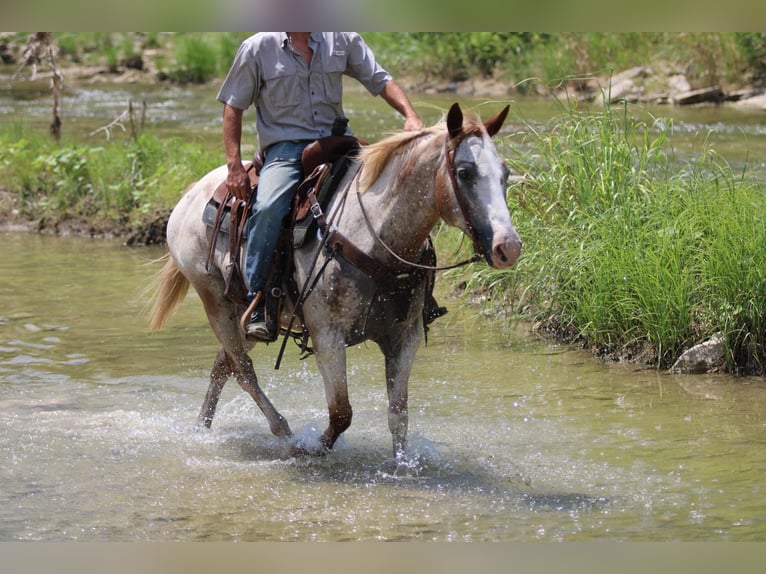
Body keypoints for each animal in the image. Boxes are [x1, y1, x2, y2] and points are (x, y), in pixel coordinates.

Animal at [148, 103, 524, 462]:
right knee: (242, 371)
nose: (508, 247)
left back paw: (202, 427)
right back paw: (285, 434)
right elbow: (341, 413)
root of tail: (192, 193)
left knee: (222, 366)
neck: (374, 233)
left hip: (243, 312)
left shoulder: (405, 337)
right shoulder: (328, 335)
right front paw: (311, 449)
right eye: (465, 172)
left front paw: (402, 466)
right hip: (215, 303)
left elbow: (398, 415)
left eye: (505, 173)